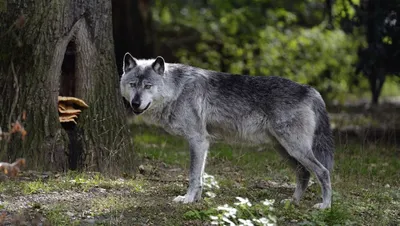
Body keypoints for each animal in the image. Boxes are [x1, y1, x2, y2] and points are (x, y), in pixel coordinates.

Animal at [121, 52, 334, 208]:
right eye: (132, 85)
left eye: (148, 86)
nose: (135, 103)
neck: (177, 90)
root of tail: (310, 90)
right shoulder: (203, 143)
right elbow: (200, 176)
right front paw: (196, 200)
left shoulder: (197, 140)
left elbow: (193, 175)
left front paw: (187, 199)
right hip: (284, 150)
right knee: (304, 174)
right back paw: (293, 202)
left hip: (294, 149)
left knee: (323, 172)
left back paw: (325, 206)